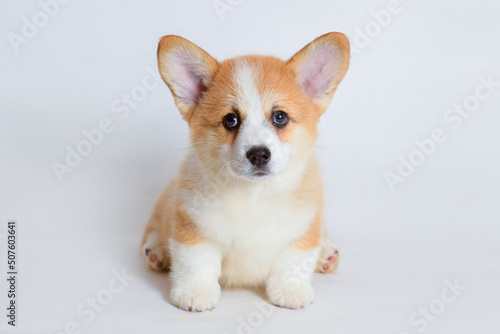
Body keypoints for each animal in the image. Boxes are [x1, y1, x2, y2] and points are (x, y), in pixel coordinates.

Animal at [141, 32, 352, 312]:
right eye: (230, 120)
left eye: (280, 117)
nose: (259, 154)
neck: (254, 195)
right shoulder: (192, 228)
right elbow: (196, 263)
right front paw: (195, 294)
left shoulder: (304, 229)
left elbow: (292, 262)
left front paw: (290, 291)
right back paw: (156, 253)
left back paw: (326, 255)